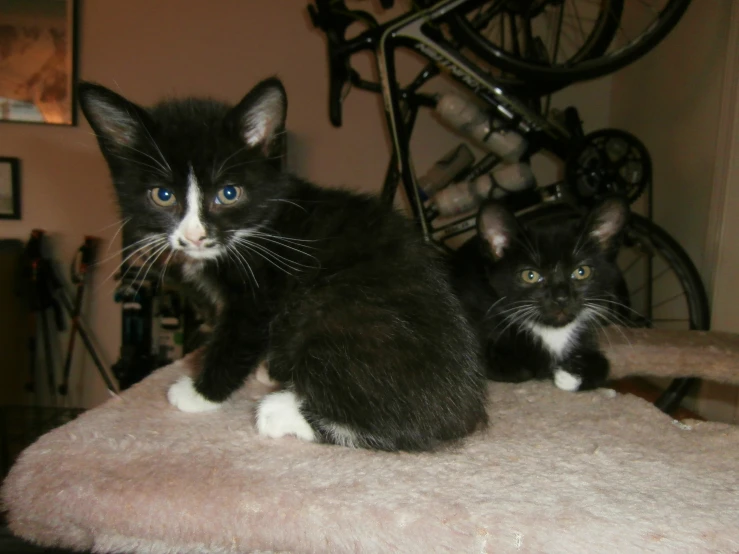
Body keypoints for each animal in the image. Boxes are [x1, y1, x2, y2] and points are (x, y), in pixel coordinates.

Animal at [78, 77, 488, 448]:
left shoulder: (260, 292)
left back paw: (280, 411)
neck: (259, 227)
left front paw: (199, 393)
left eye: (229, 193)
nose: (195, 236)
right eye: (162, 195)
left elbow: (237, 338)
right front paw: (267, 368)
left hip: (331, 309)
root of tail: (468, 405)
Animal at [450, 197, 632, 388]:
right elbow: (518, 369)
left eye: (582, 272)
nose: (561, 298)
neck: (550, 330)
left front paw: (572, 374)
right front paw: (545, 369)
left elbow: (605, 365)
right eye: (530, 275)